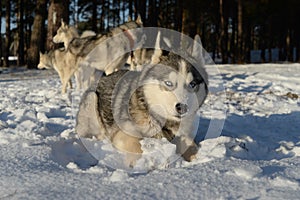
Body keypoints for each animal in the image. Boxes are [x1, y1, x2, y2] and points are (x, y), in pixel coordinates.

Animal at [76, 32, 207, 164]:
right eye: (168, 83)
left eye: (192, 84)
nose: (183, 107)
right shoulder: (121, 134)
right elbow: (136, 146)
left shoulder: (183, 135)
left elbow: (191, 146)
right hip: (92, 100)